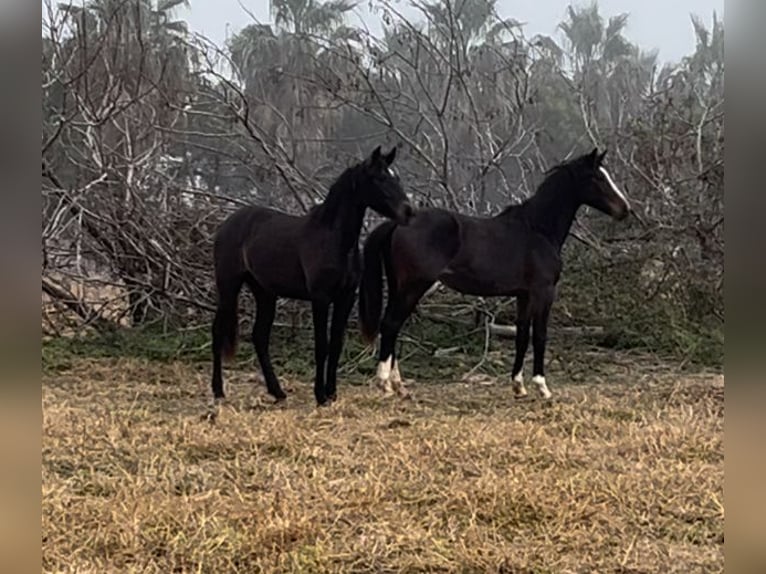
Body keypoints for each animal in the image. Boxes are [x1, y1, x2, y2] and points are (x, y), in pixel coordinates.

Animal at [210, 148, 414, 410]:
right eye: (379, 178)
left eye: (395, 177)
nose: (408, 211)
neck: (334, 239)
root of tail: (228, 223)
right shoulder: (320, 298)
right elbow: (322, 346)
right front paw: (320, 396)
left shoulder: (346, 298)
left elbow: (336, 345)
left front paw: (332, 393)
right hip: (229, 286)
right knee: (219, 331)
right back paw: (218, 391)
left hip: (264, 292)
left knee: (259, 337)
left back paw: (277, 392)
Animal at [358, 148, 632, 400]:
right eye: (598, 178)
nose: (625, 210)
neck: (537, 230)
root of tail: (399, 221)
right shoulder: (544, 292)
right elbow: (540, 335)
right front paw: (542, 387)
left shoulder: (523, 295)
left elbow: (522, 335)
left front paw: (518, 386)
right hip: (414, 286)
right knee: (391, 324)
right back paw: (385, 383)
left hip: (400, 286)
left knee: (393, 327)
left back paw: (398, 385)